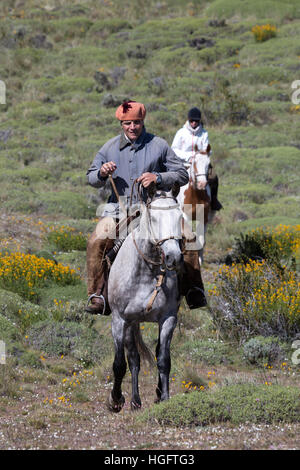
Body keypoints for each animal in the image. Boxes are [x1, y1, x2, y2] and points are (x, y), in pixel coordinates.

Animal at [108, 184, 183, 412]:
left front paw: (165, 397)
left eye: (179, 216)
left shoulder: (168, 319)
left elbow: (164, 359)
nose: (173, 257)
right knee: (133, 359)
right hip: (130, 323)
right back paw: (134, 399)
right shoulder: (119, 320)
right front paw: (116, 399)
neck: (146, 271)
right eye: (154, 218)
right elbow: (119, 363)